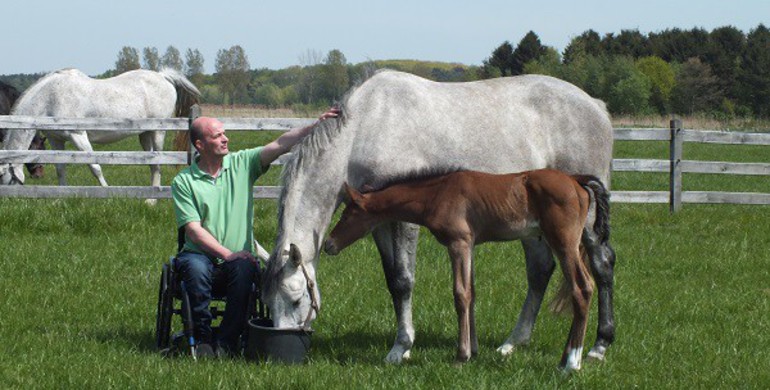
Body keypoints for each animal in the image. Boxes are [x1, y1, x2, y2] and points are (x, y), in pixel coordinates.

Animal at [0, 67, 198, 189]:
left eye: (3, 178)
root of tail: (163, 76)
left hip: (158, 132)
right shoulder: (57, 140)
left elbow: (95, 166)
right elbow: (60, 169)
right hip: (145, 135)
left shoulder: (79, 135)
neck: (51, 98)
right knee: (152, 165)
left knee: (157, 164)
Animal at [320, 168, 608, 372]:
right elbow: (472, 293)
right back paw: (564, 359)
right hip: (571, 244)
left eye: (348, 213)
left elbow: (460, 295)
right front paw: (472, 352)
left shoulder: (458, 243)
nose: (328, 244)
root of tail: (576, 180)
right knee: (584, 287)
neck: (438, 193)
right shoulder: (469, 245)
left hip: (564, 243)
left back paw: (572, 363)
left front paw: (460, 355)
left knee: (582, 289)